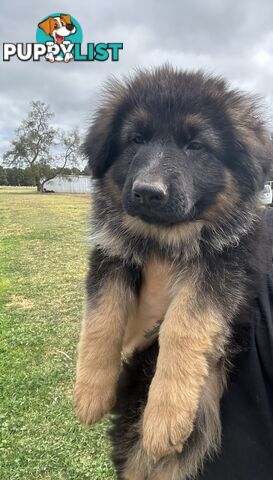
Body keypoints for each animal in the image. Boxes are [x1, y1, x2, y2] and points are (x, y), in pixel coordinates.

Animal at [74, 65, 272, 478]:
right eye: (136, 140)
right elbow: (101, 317)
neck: (165, 238)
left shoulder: (222, 268)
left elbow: (182, 326)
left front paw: (166, 416)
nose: (148, 192)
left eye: (195, 146)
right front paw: (90, 392)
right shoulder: (111, 255)